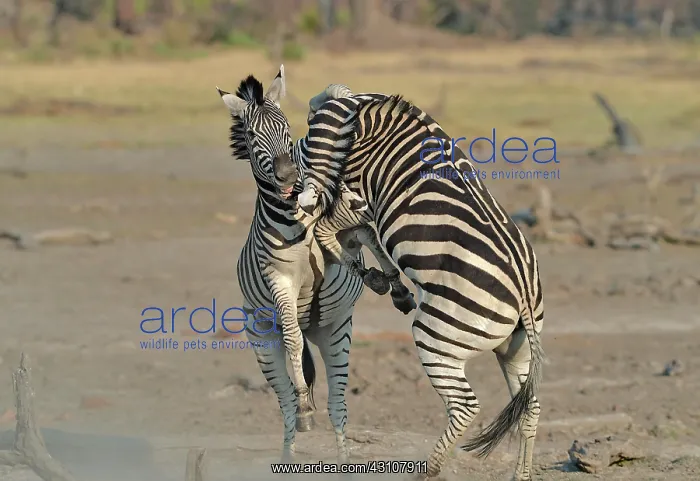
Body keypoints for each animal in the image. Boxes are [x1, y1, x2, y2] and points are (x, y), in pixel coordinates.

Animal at [214, 67, 415, 464]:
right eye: (251, 135)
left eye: (285, 126)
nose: (289, 178)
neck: (294, 220)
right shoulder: (279, 282)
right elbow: (292, 339)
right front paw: (305, 403)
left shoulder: (341, 226)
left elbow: (361, 237)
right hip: (263, 344)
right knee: (288, 407)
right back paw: (295, 435)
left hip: (335, 334)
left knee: (338, 406)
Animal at [292, 86, 546, 481]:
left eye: (305, 144)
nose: (300, 195)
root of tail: (522, 295)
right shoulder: (359, 204)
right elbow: (363, 236)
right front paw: (386, 281)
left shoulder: (358, 198)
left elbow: (331, 230)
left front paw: (373, 276)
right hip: (516, 349)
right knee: (529, 407)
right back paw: (521, 475)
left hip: (438, 336)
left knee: (465, 406)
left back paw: (429, 468)